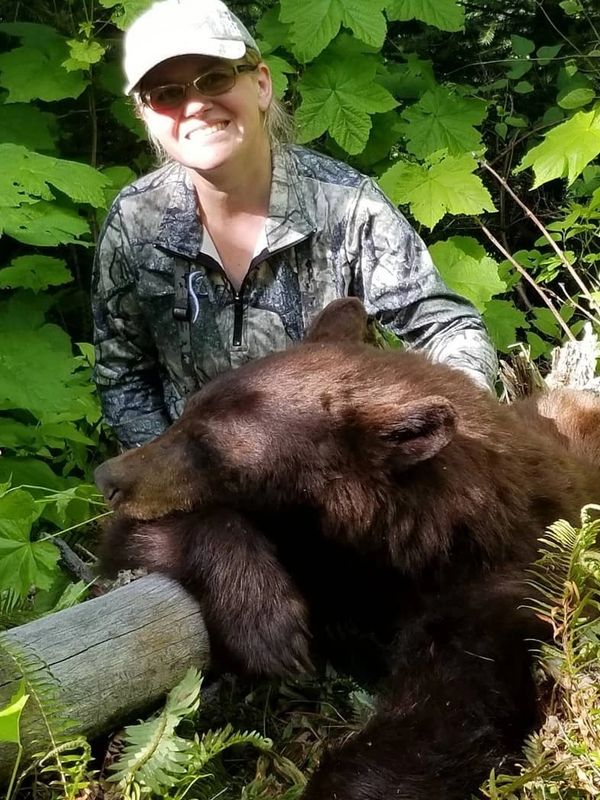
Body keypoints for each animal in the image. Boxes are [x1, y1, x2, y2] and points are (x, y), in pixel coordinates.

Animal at [95, 298, 600, 800]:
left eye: (204, 444)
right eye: (187, 411)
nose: (109, 477)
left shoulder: (501, 580)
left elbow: (451, 713)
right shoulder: (319, 554)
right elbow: (131, 541)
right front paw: (268, 626)